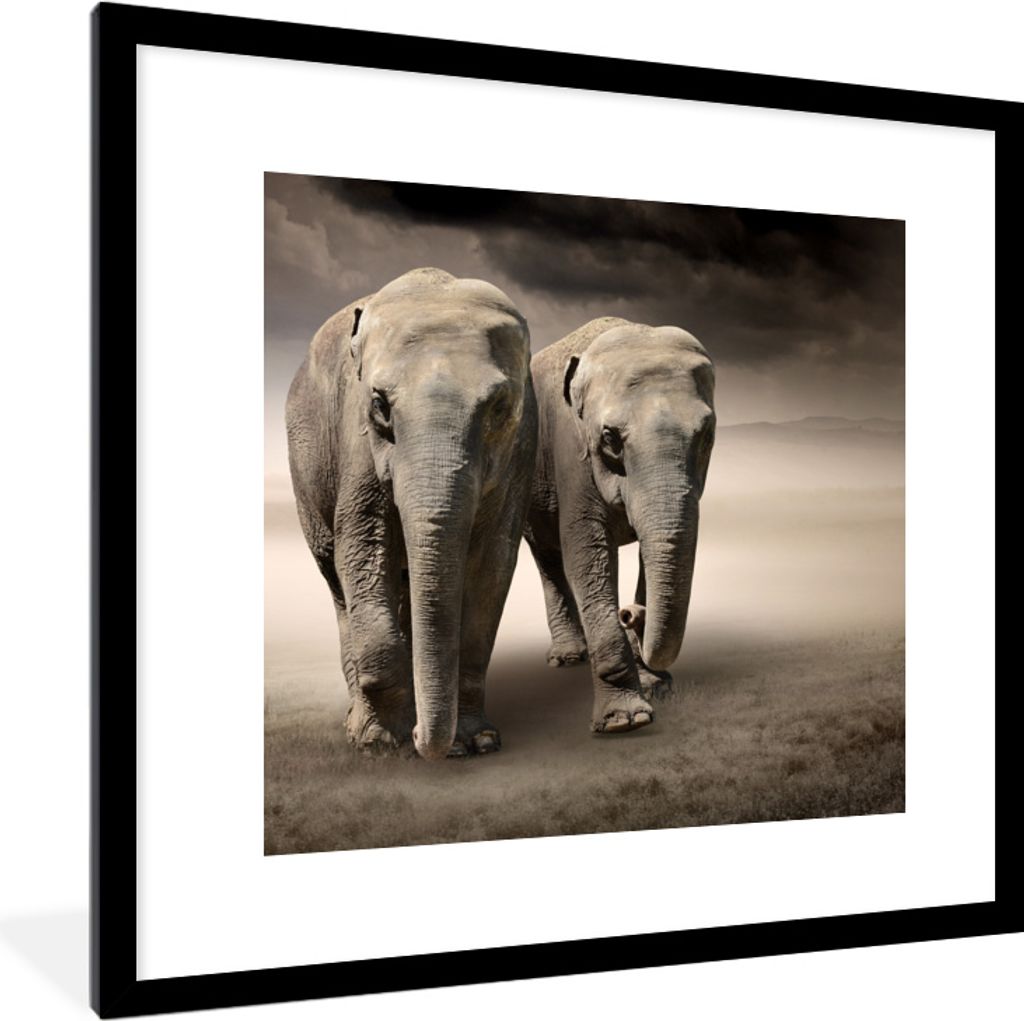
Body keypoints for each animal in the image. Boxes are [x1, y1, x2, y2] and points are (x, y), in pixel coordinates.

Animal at [286, 268, 537, 760]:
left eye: (500, 408)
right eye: (380, 405)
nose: (424, 740)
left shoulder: (520, 449)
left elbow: (492, 565)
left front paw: (476, 742)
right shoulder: (358, 440)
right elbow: (361, 550)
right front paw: (384, 741)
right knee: (336, 580)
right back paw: (360, 725)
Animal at [524, 317, 715, 733]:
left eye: (706, 435)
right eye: (609, 438)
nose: (630, 613)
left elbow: (656, 547)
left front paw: (654, 686)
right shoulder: (571, 452)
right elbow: (587, 553)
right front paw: (625, 721)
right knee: (547, 555)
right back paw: (568, 657)